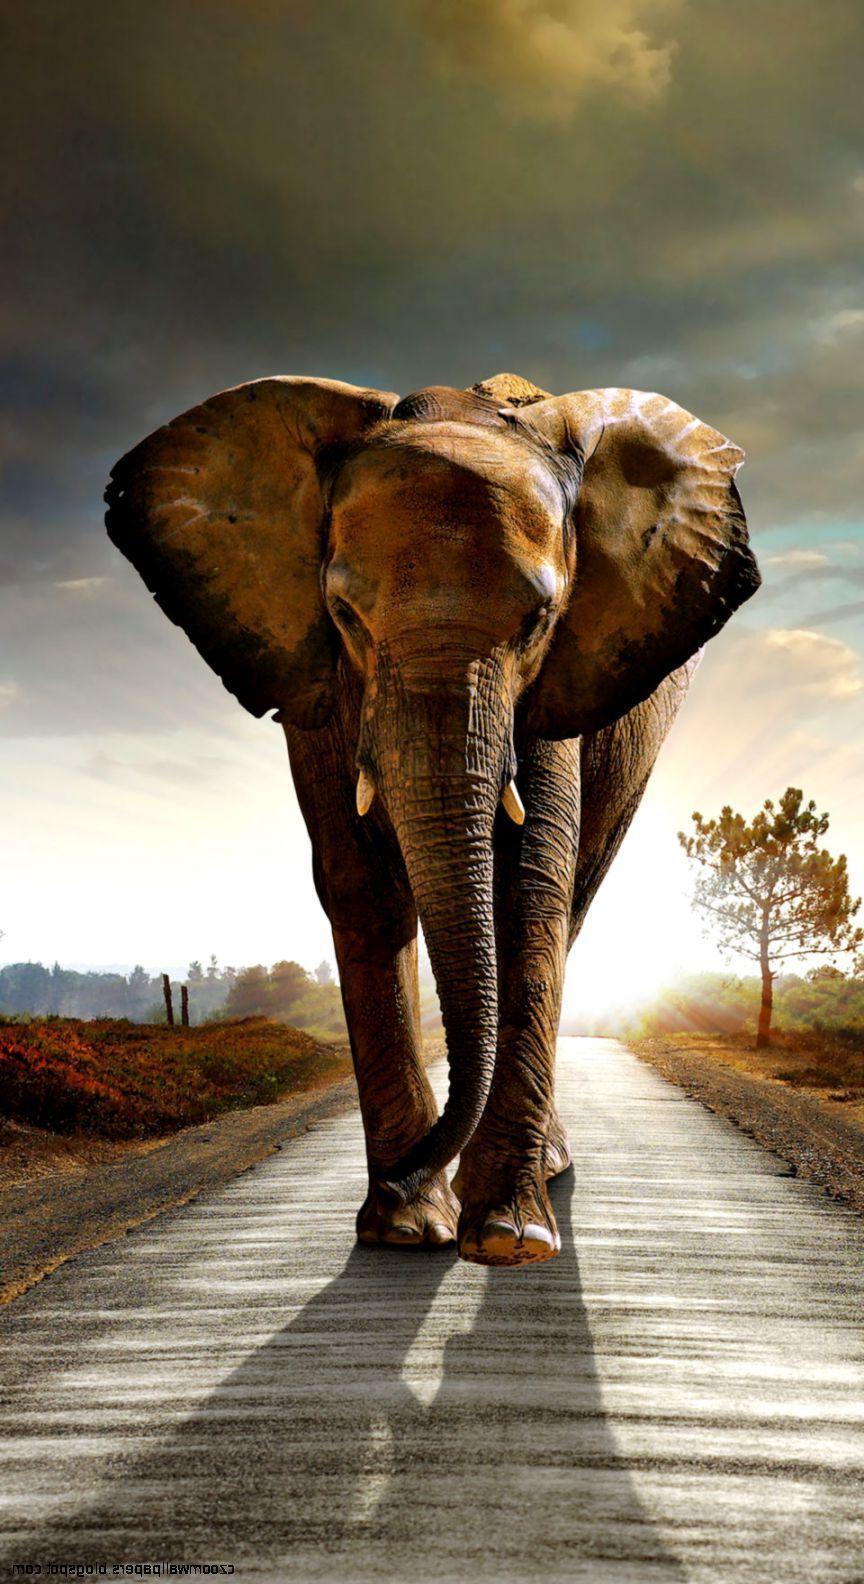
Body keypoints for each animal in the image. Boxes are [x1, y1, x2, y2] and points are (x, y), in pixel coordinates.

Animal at [105, 371, 759, 1266]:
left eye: (538, 621)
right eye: (344, 614)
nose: (403, 1175)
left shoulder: (554, 687)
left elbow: (528, 887)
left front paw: (507, 1238)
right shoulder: (316, 683)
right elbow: (362, 886)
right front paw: (406, 1229)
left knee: (575, 897)